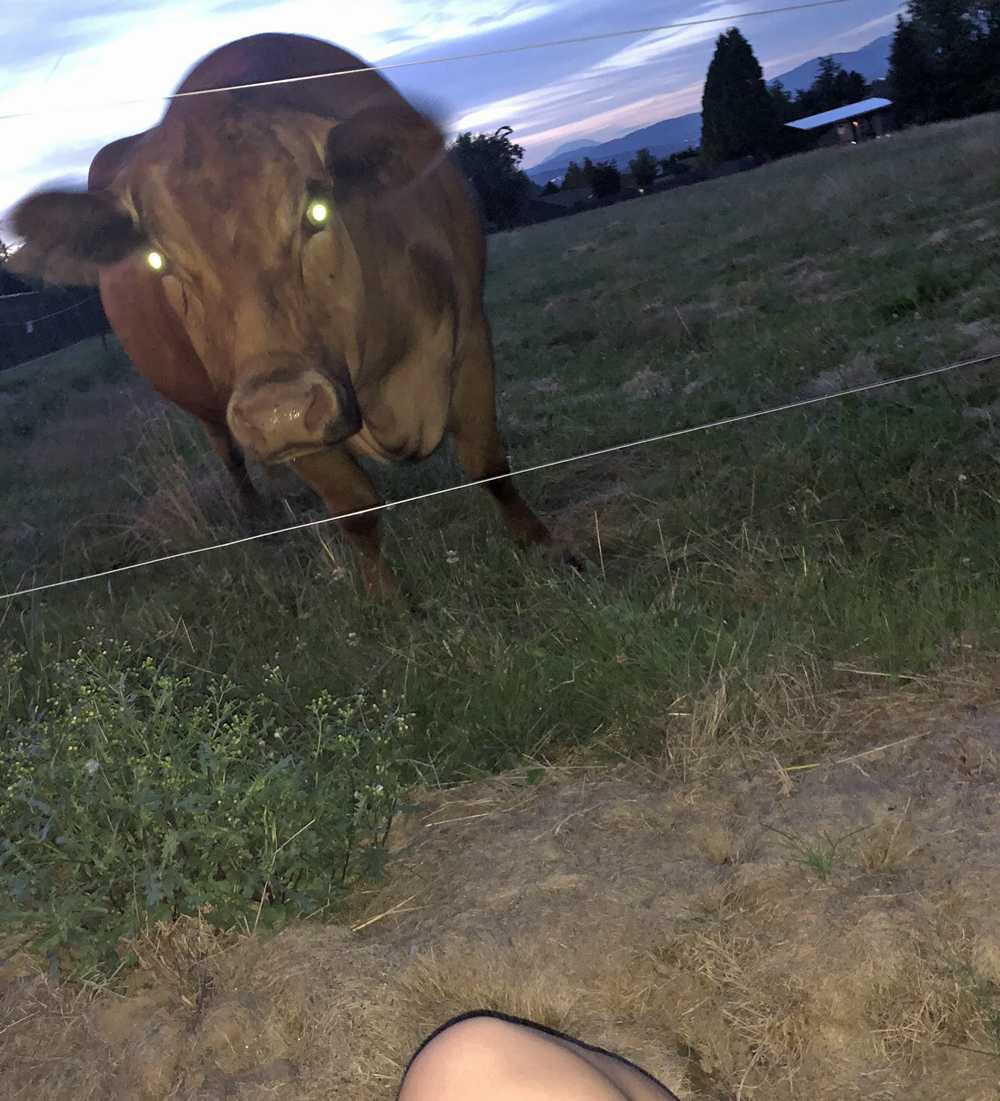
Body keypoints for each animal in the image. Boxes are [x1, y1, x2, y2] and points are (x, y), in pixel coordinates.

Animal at [10, 32, 575, 598]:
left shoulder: (471, 329)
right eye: (158, 260)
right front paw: (388, 600)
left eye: (317, 212)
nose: (278, 410)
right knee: (230, 453)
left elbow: (487, 460)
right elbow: (355, 509)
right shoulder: (284, 424)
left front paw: (544, 547)